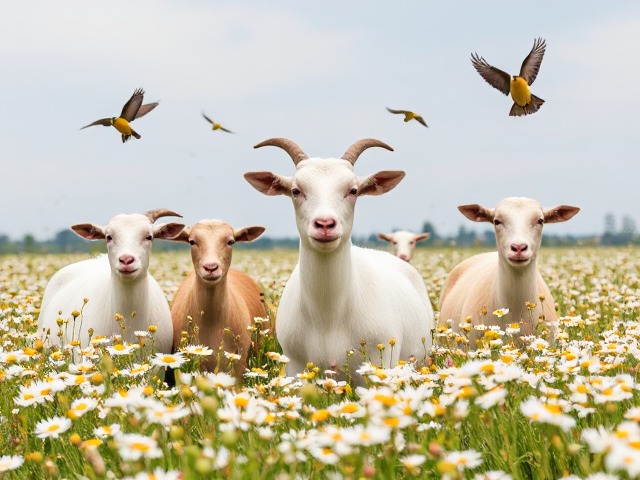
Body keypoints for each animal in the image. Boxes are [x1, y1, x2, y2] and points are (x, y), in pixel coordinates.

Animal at [244, 138, 434, 383]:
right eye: (296, 190)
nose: (325, 224)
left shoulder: (377, 363)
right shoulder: (296, 368)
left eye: (353, 190)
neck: (329, 317)